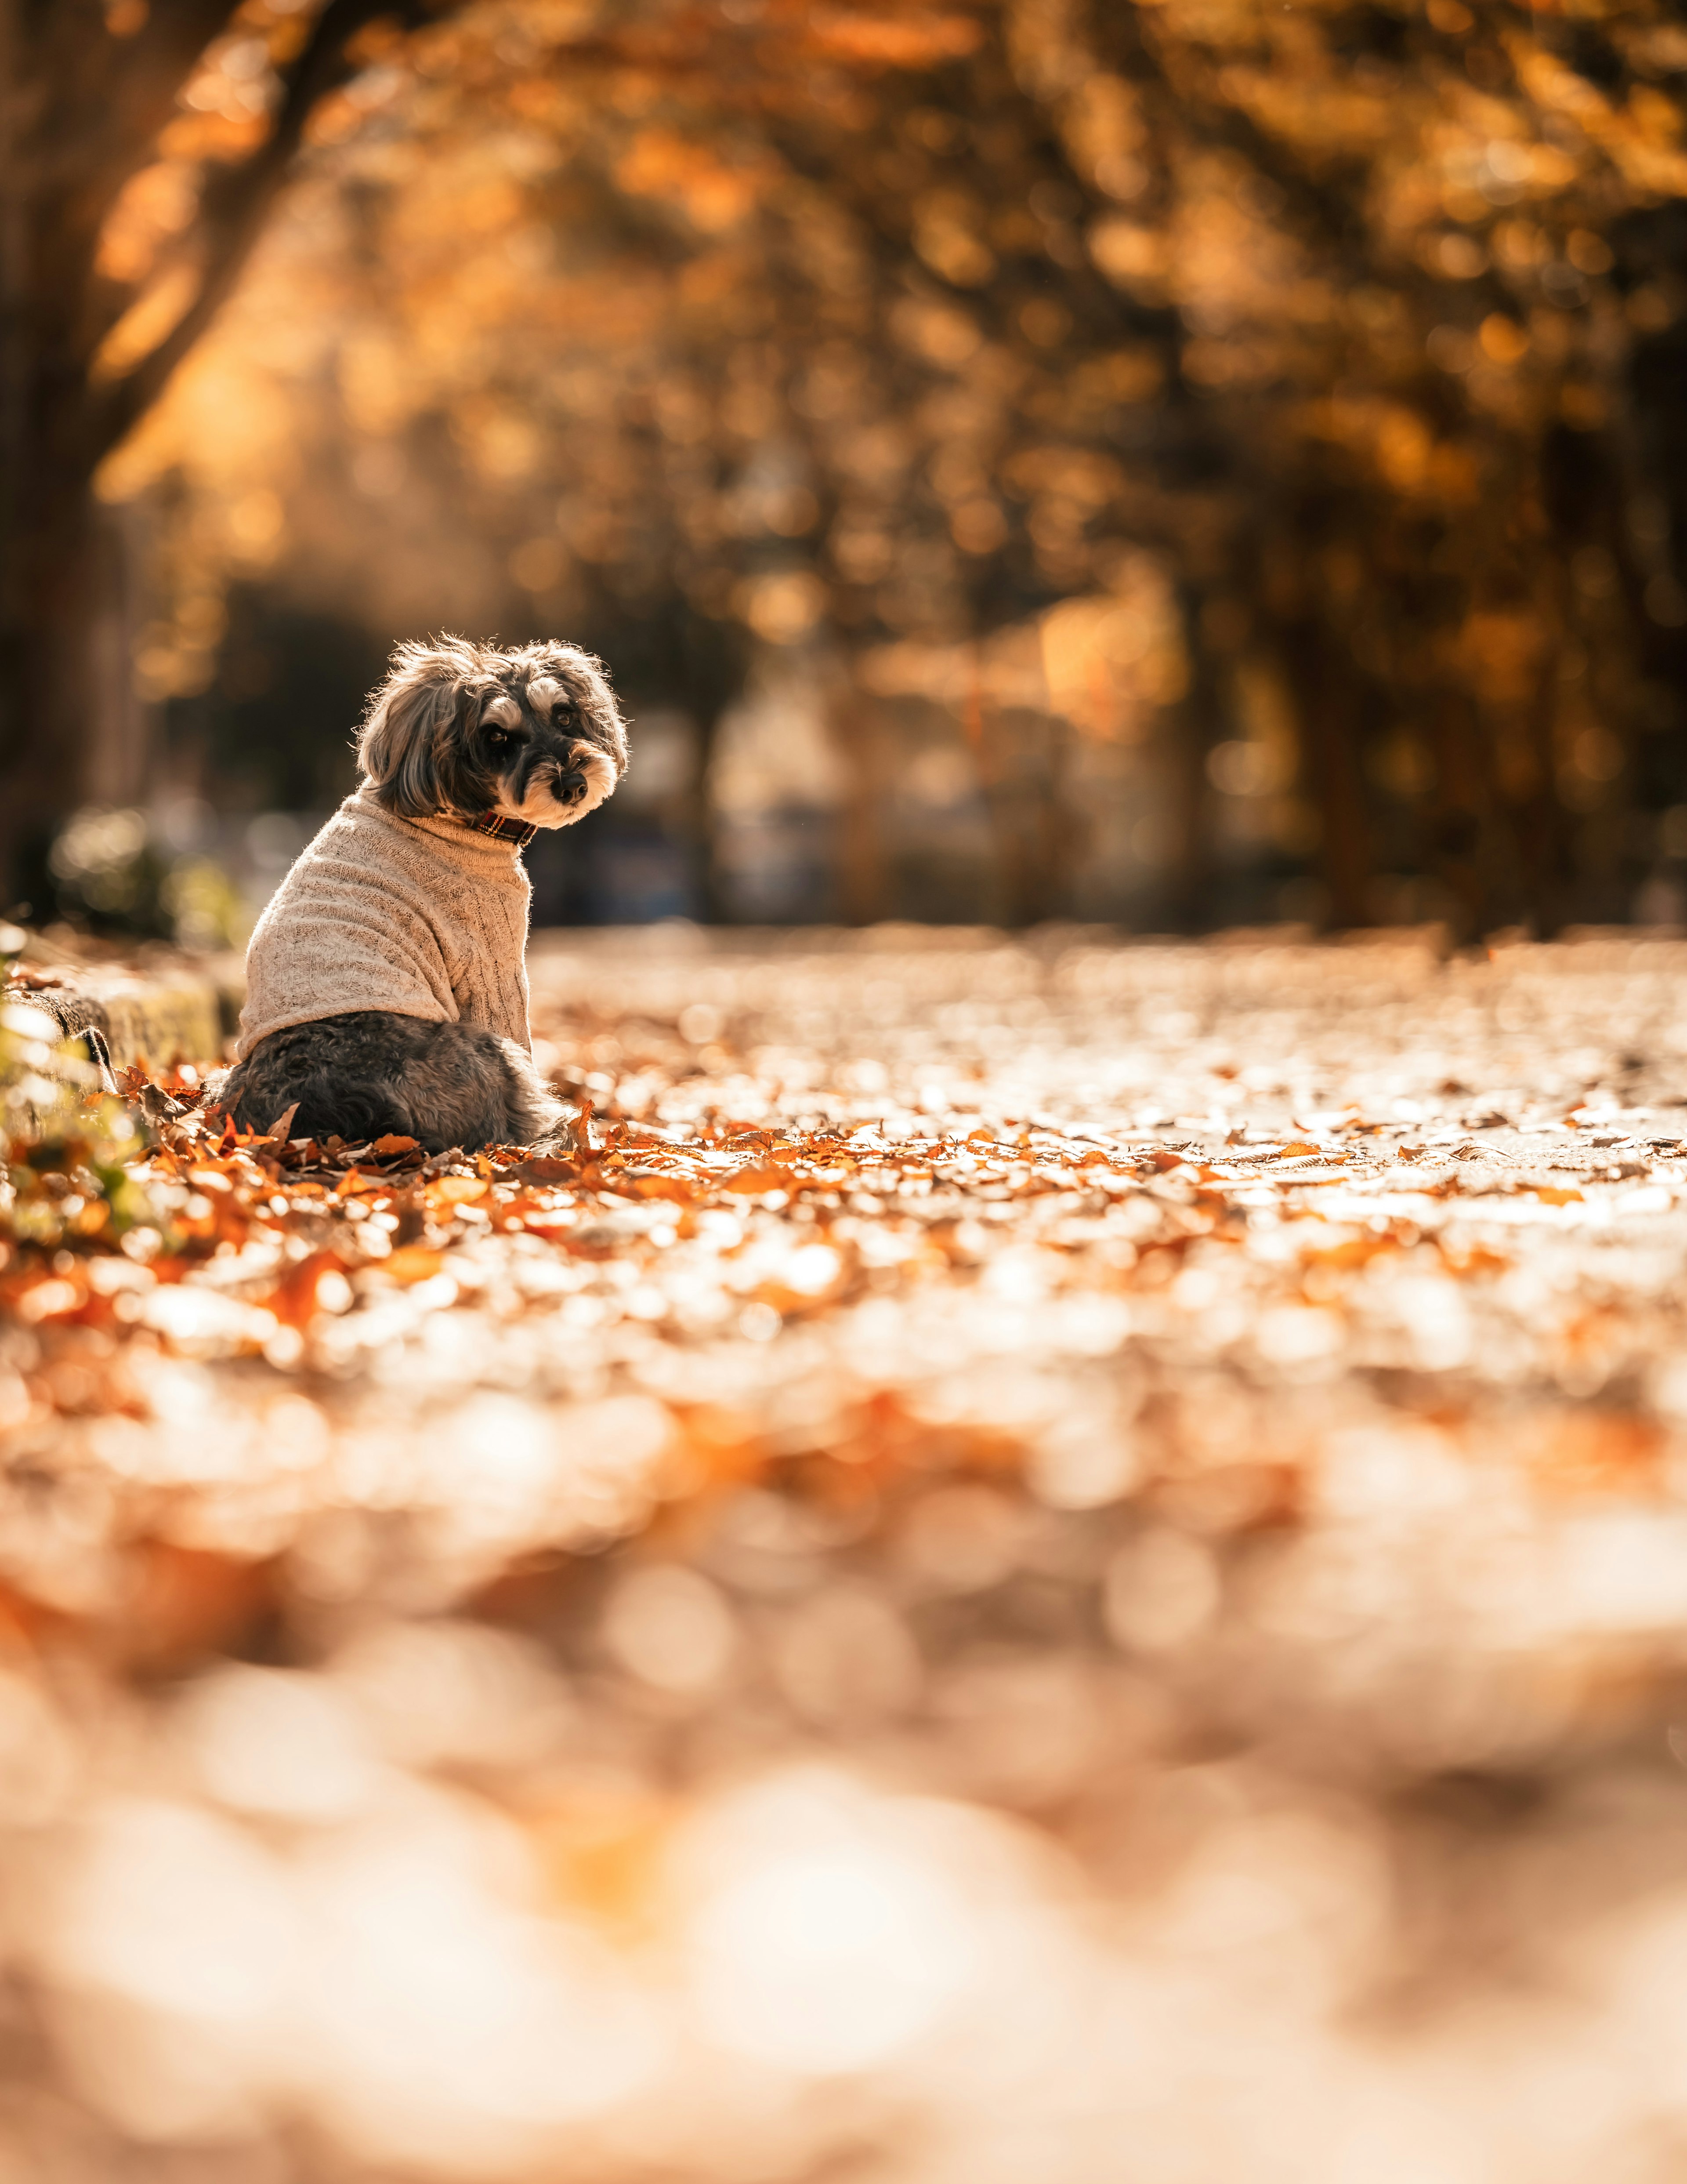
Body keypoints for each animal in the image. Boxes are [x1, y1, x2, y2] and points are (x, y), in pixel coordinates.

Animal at [216, 633, 624, 1153]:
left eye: (565, 715)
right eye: (497, 737)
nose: (573, 784)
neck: (458, 814)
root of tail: (325, 1119)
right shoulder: (493, 969)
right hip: (483, 1050)